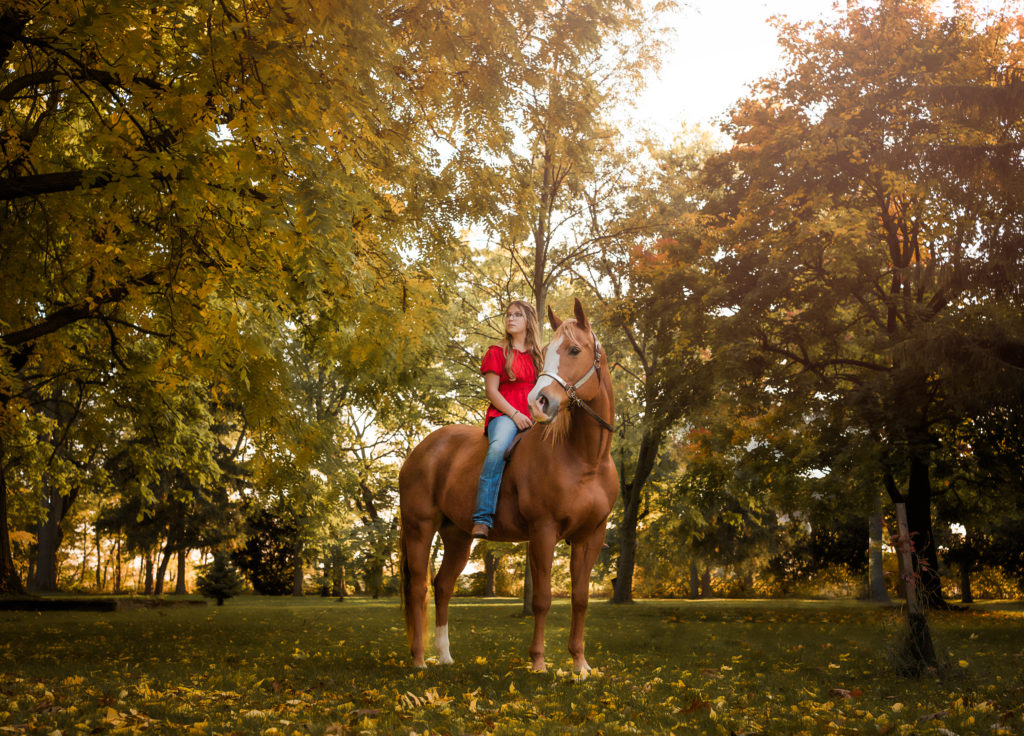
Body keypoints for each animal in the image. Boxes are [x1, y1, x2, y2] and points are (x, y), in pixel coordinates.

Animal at [397, 298, 614, 675]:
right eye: (550, 350)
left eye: (574, 350)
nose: (539, 402)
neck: (585, 458)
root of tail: (421, 450)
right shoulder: (543, 531)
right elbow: (541, 599)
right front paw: (539, 662)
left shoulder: (591, 535)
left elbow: (581, 598)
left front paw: (580, 665)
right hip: (419, 528)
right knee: (418, 589)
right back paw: (420, 659)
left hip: (458, 536)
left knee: (442, 586)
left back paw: (444, 655)